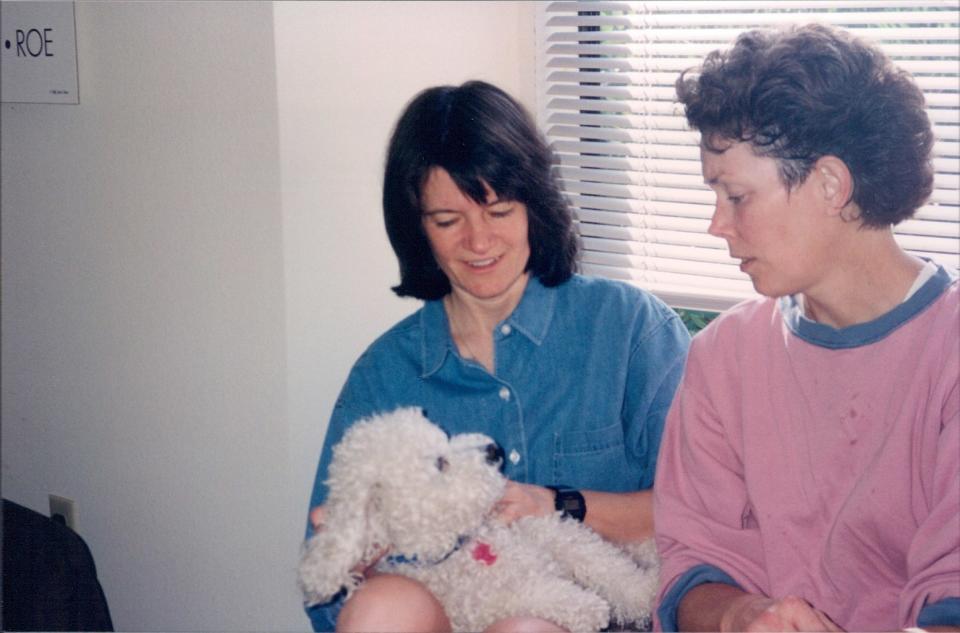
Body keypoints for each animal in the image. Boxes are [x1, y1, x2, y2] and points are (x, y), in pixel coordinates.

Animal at [300, 408, 660, 628]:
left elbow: (608, 567)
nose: (492, 449)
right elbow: (535, 596)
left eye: (444, 436)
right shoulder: (479, 606)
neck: (466, 544)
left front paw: (645, 594)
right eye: (440, 463)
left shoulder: (547, 527)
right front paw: (585, 605)